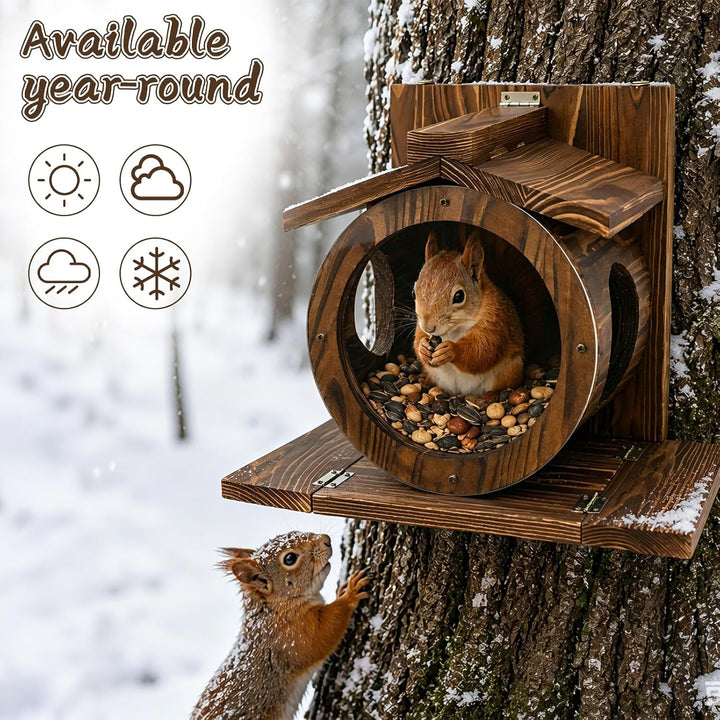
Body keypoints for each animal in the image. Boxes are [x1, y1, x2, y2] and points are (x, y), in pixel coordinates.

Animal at [190, 531, 369, 720]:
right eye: (290, 559)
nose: (326, 539)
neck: (275, 609)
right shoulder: (292, 636)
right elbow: (324, 633)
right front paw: (350, 593)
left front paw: (343, 589)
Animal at [413, 229, 524, 396]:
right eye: (414, 292)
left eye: (459, 296)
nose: (428, 327)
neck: (454, 329)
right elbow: (418, 338)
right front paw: (422, 347)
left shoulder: (496, 320)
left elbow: (483, 351)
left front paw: (451, 350)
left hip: (509, 370)